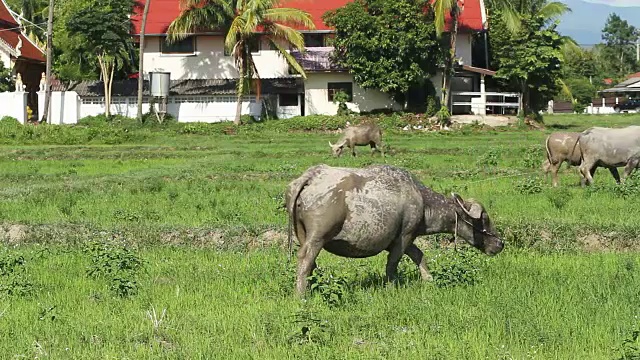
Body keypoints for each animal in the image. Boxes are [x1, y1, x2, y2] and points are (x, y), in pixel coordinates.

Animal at [286, 165, 504, 294]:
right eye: (484, 219)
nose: (500, 243)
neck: (422, 202)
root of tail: (311, 176)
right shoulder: (404, 236)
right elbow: (392, 264)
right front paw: (392, 285)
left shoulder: (402, 239)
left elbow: (419, 256)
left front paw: (429, 279)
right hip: (318, 236)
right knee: (305, 258)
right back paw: (301, 294)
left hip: (302, 233)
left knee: (311, 263)